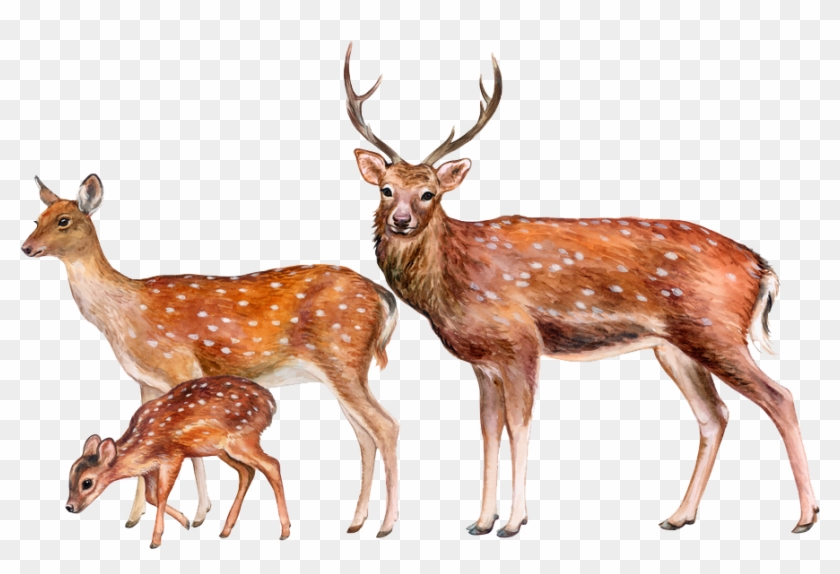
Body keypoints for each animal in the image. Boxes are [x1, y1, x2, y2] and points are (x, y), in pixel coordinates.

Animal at [66, 375, 290, 548]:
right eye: (69, 479)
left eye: (87, 482)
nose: (69, 507)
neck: (142, 444)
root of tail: (271, 404)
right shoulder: (148, 469)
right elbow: (151, 497)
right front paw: (185, 521)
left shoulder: (172, 456)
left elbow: (161, 494)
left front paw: (156, 540)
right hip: (221, 450)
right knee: (247, 472)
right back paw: (226, 530)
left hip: (242, 439)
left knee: (272, 465)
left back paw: (285, 531)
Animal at [344, 42, 819, 537]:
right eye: (386, 189)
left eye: (429, 193)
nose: (401, 220)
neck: (452, 282)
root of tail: (760, 267)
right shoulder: (483, 361)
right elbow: (489, 429)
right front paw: (481, 521)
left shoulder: (521, 342)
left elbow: (519, 426)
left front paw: (514, 522)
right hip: (675, 346)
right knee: (715, 415)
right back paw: (679, 516)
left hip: (716, 330)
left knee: (779, 397)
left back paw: (806, 516)